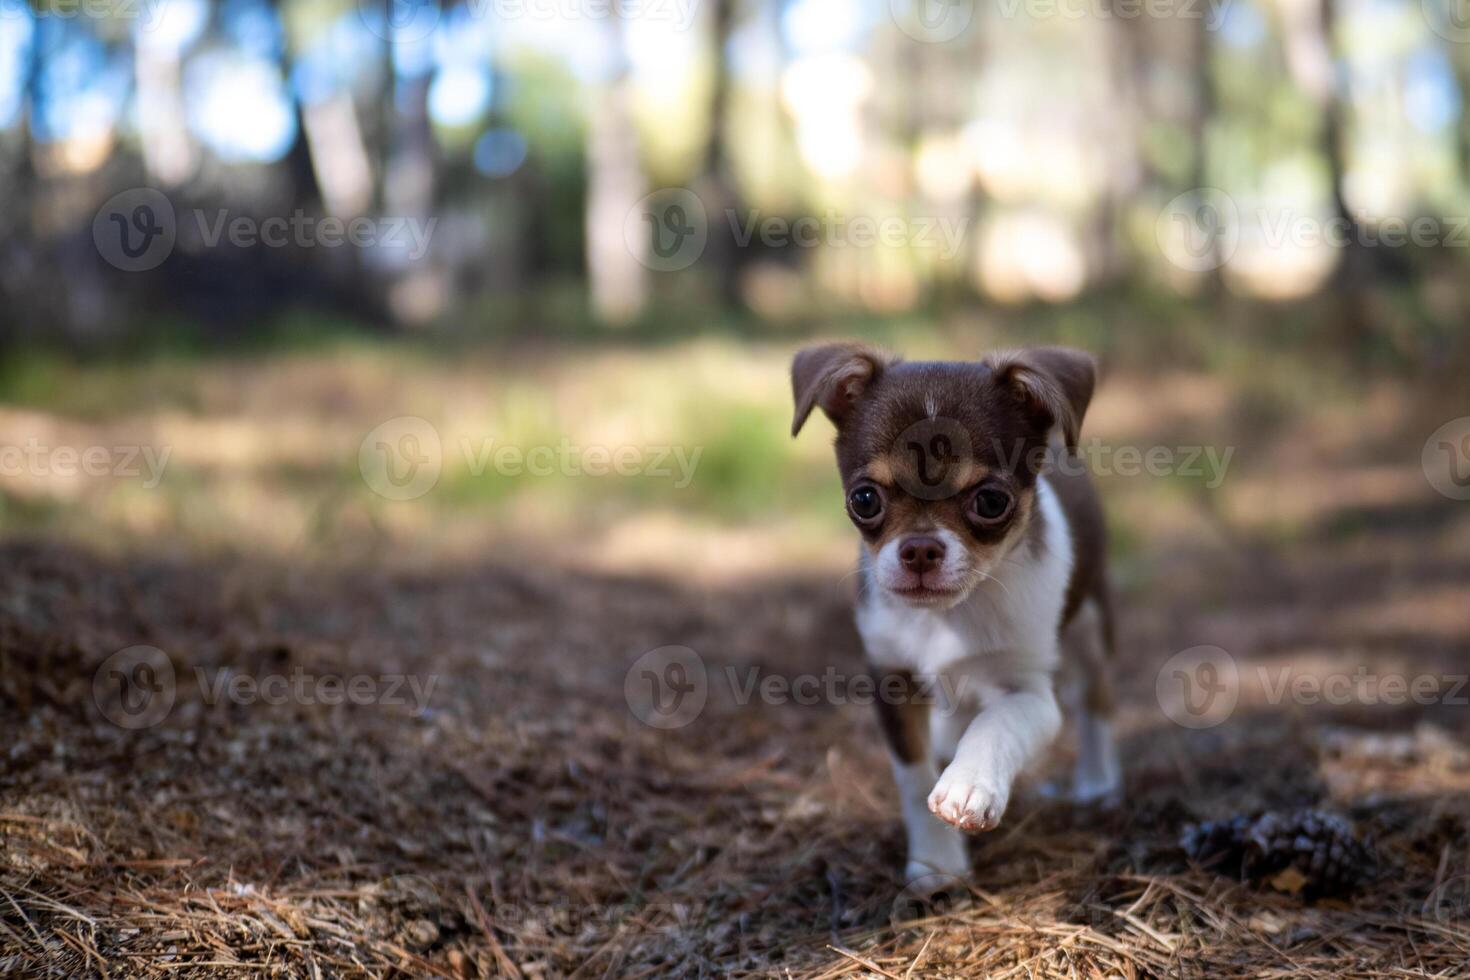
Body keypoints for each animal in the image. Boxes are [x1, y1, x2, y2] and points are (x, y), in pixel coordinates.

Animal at [793, 345, 1123, 887]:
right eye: (864, 499)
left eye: (990, 501)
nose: (920, 548)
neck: (948, 617)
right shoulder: (893, 679)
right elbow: (914, 775)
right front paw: (936, 863)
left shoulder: (1030, 694)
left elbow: (997, 723)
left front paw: (969, 785)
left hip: (1093, 621)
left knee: (1096, 697)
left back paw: (1098, 784)